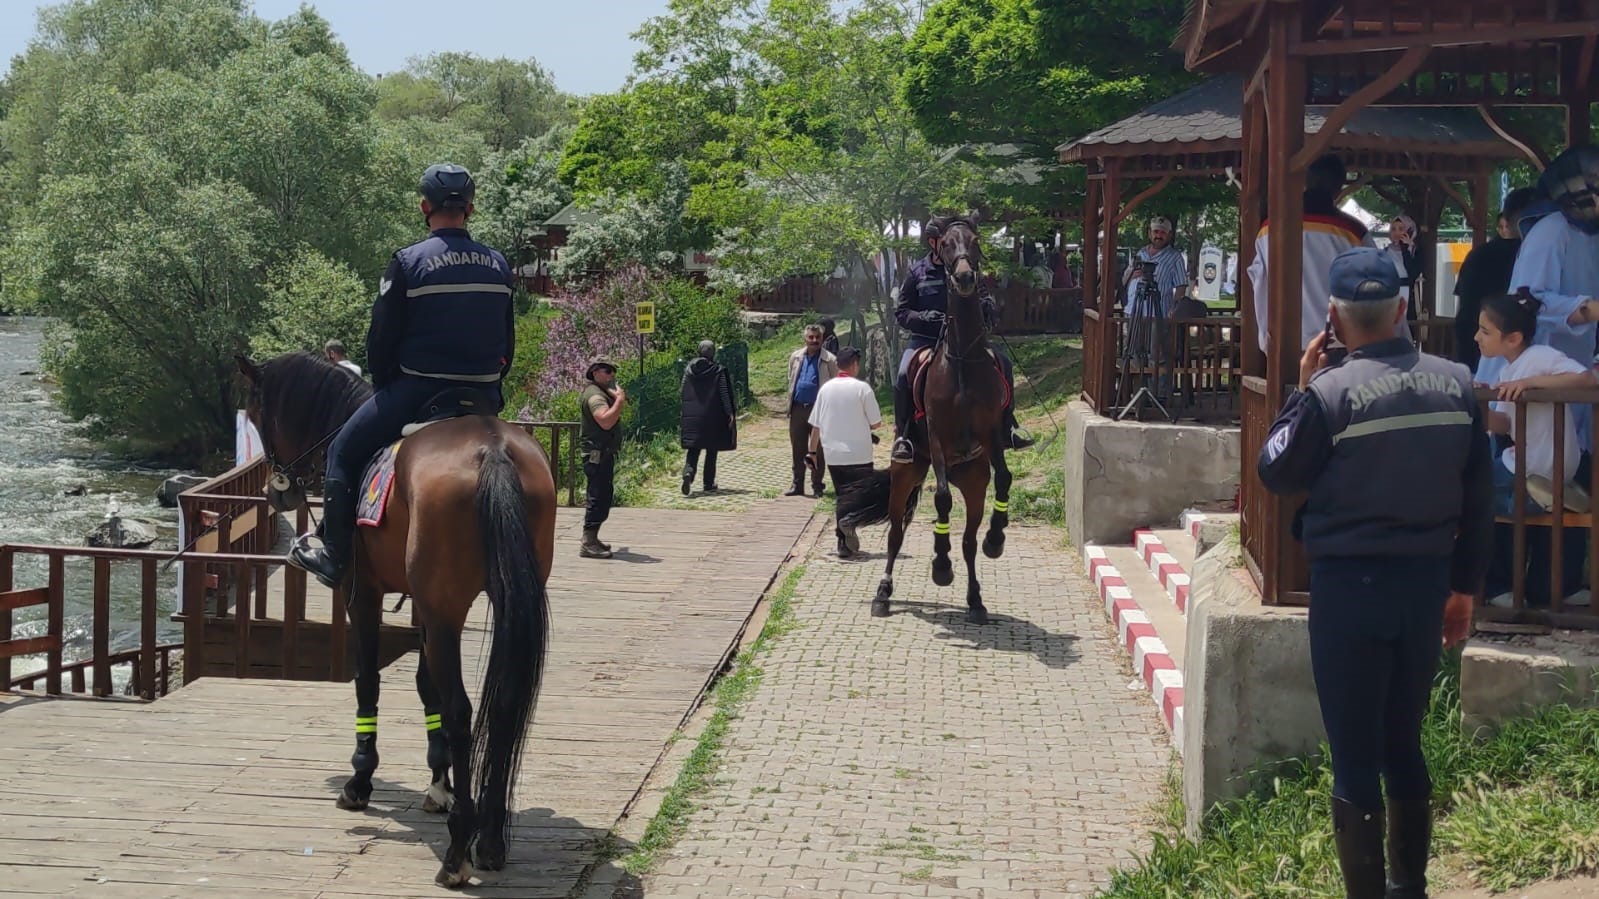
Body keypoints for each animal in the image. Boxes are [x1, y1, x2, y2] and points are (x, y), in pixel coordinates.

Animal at [233, 350, 559, 883]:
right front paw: (438, 782)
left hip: (445, 610)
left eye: (258, 415)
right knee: (504, 701)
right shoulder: (424, 607)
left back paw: (457, 851)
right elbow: (426, 686)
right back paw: (489, 839)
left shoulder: (362, 595)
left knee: (463, 710)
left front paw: (359, 778)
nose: (276, 491)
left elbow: (368, 680)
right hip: (494, 601)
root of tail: (492, 449)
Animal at [837, 219, 1010, 623]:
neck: (962, 362)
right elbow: (942, 498)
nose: (964, 278)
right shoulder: (937, 438)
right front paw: (940, 565)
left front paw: (996, 539)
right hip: (908, 471)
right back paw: (883, 594)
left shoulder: (992, 434)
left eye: (975, 241)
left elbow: (1005, 479)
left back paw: (976, 599)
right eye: (945, 243)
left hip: (973, 479)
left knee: (968, 540)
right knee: (895, 535)